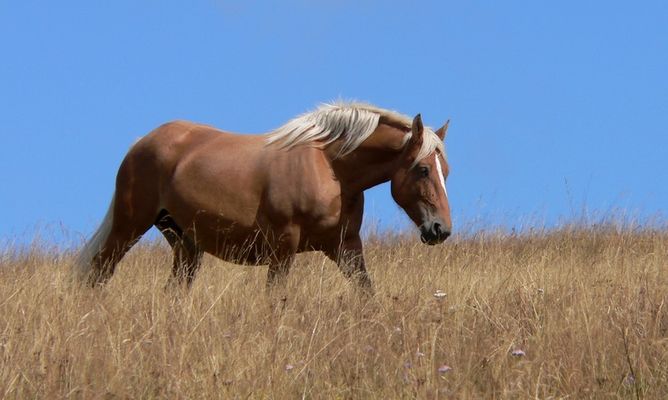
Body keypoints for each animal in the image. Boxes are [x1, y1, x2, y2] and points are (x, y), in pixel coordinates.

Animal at [75, 102, 452, 293]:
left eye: (445, 170)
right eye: (422, 169)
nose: (441, 230)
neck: (329, 167)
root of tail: (141, 143)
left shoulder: (345, 247)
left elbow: (366, 292)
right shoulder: (283, 247)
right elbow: (276, 299)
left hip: (184, 243)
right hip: (128, 227)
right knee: (96, 273)